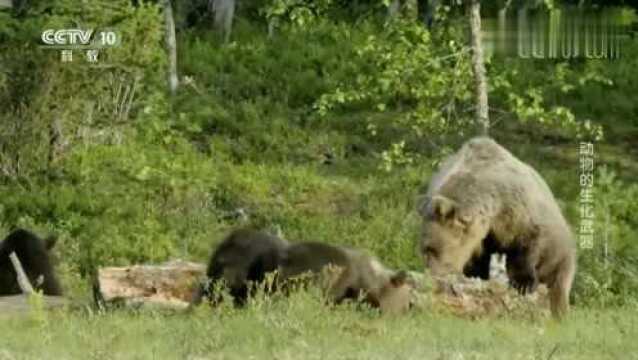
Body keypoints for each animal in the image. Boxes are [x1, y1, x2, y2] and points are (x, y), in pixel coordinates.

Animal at [420, 137, 580, 318]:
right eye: (425, 250)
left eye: (432, 249)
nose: (433, 278)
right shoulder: (482, 235)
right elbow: (478, 259)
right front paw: (476, 278)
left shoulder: (517, 211)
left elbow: (526, 245)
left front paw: (523, 283)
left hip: (562, 249)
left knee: (559, 281)